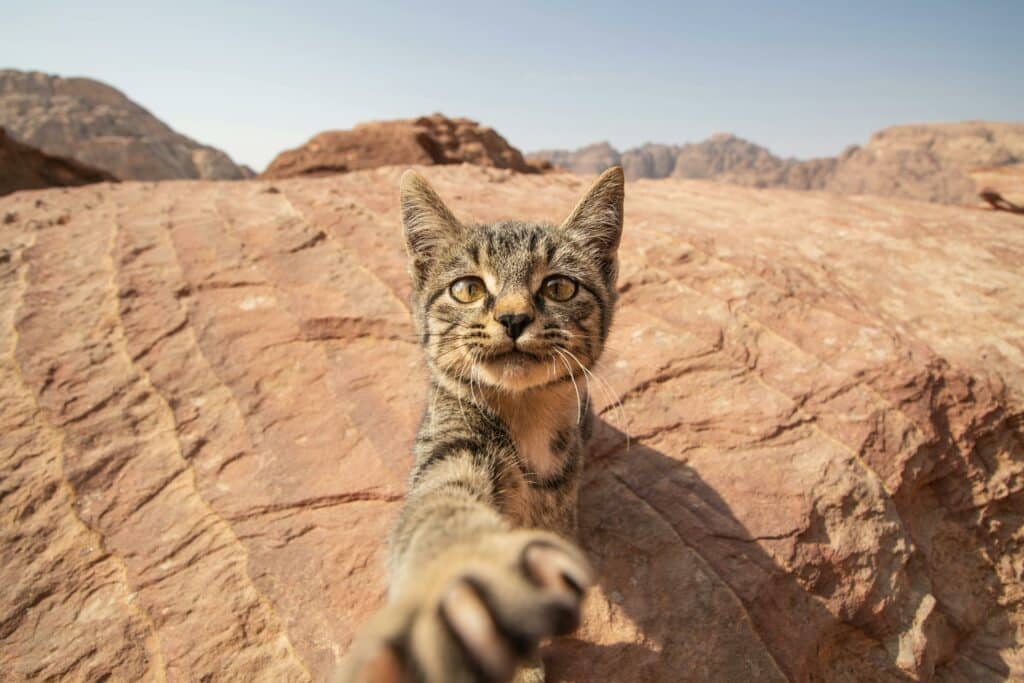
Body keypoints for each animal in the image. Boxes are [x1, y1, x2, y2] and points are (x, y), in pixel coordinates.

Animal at [339, 166, 622, 683]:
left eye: (559, 287)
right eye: (467, 288)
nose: (513, 318)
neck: (526, 414)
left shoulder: (558, 496)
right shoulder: (453, 444)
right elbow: (441, 507)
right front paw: (462, 576)